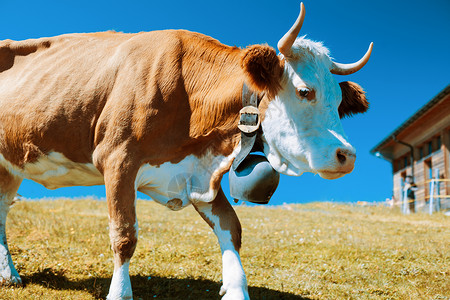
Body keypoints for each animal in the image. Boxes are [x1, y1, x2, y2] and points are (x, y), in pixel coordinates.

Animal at [0, 2, 370, 300]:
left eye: (339, 101)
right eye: (304, 91)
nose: (347, 155)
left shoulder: (198, 172)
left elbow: (231, 228)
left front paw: (236, 289)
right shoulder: (118, 158)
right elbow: (124, 235)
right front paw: (119, 293)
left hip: (9, 166)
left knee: (2, 209)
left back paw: (9, 274)